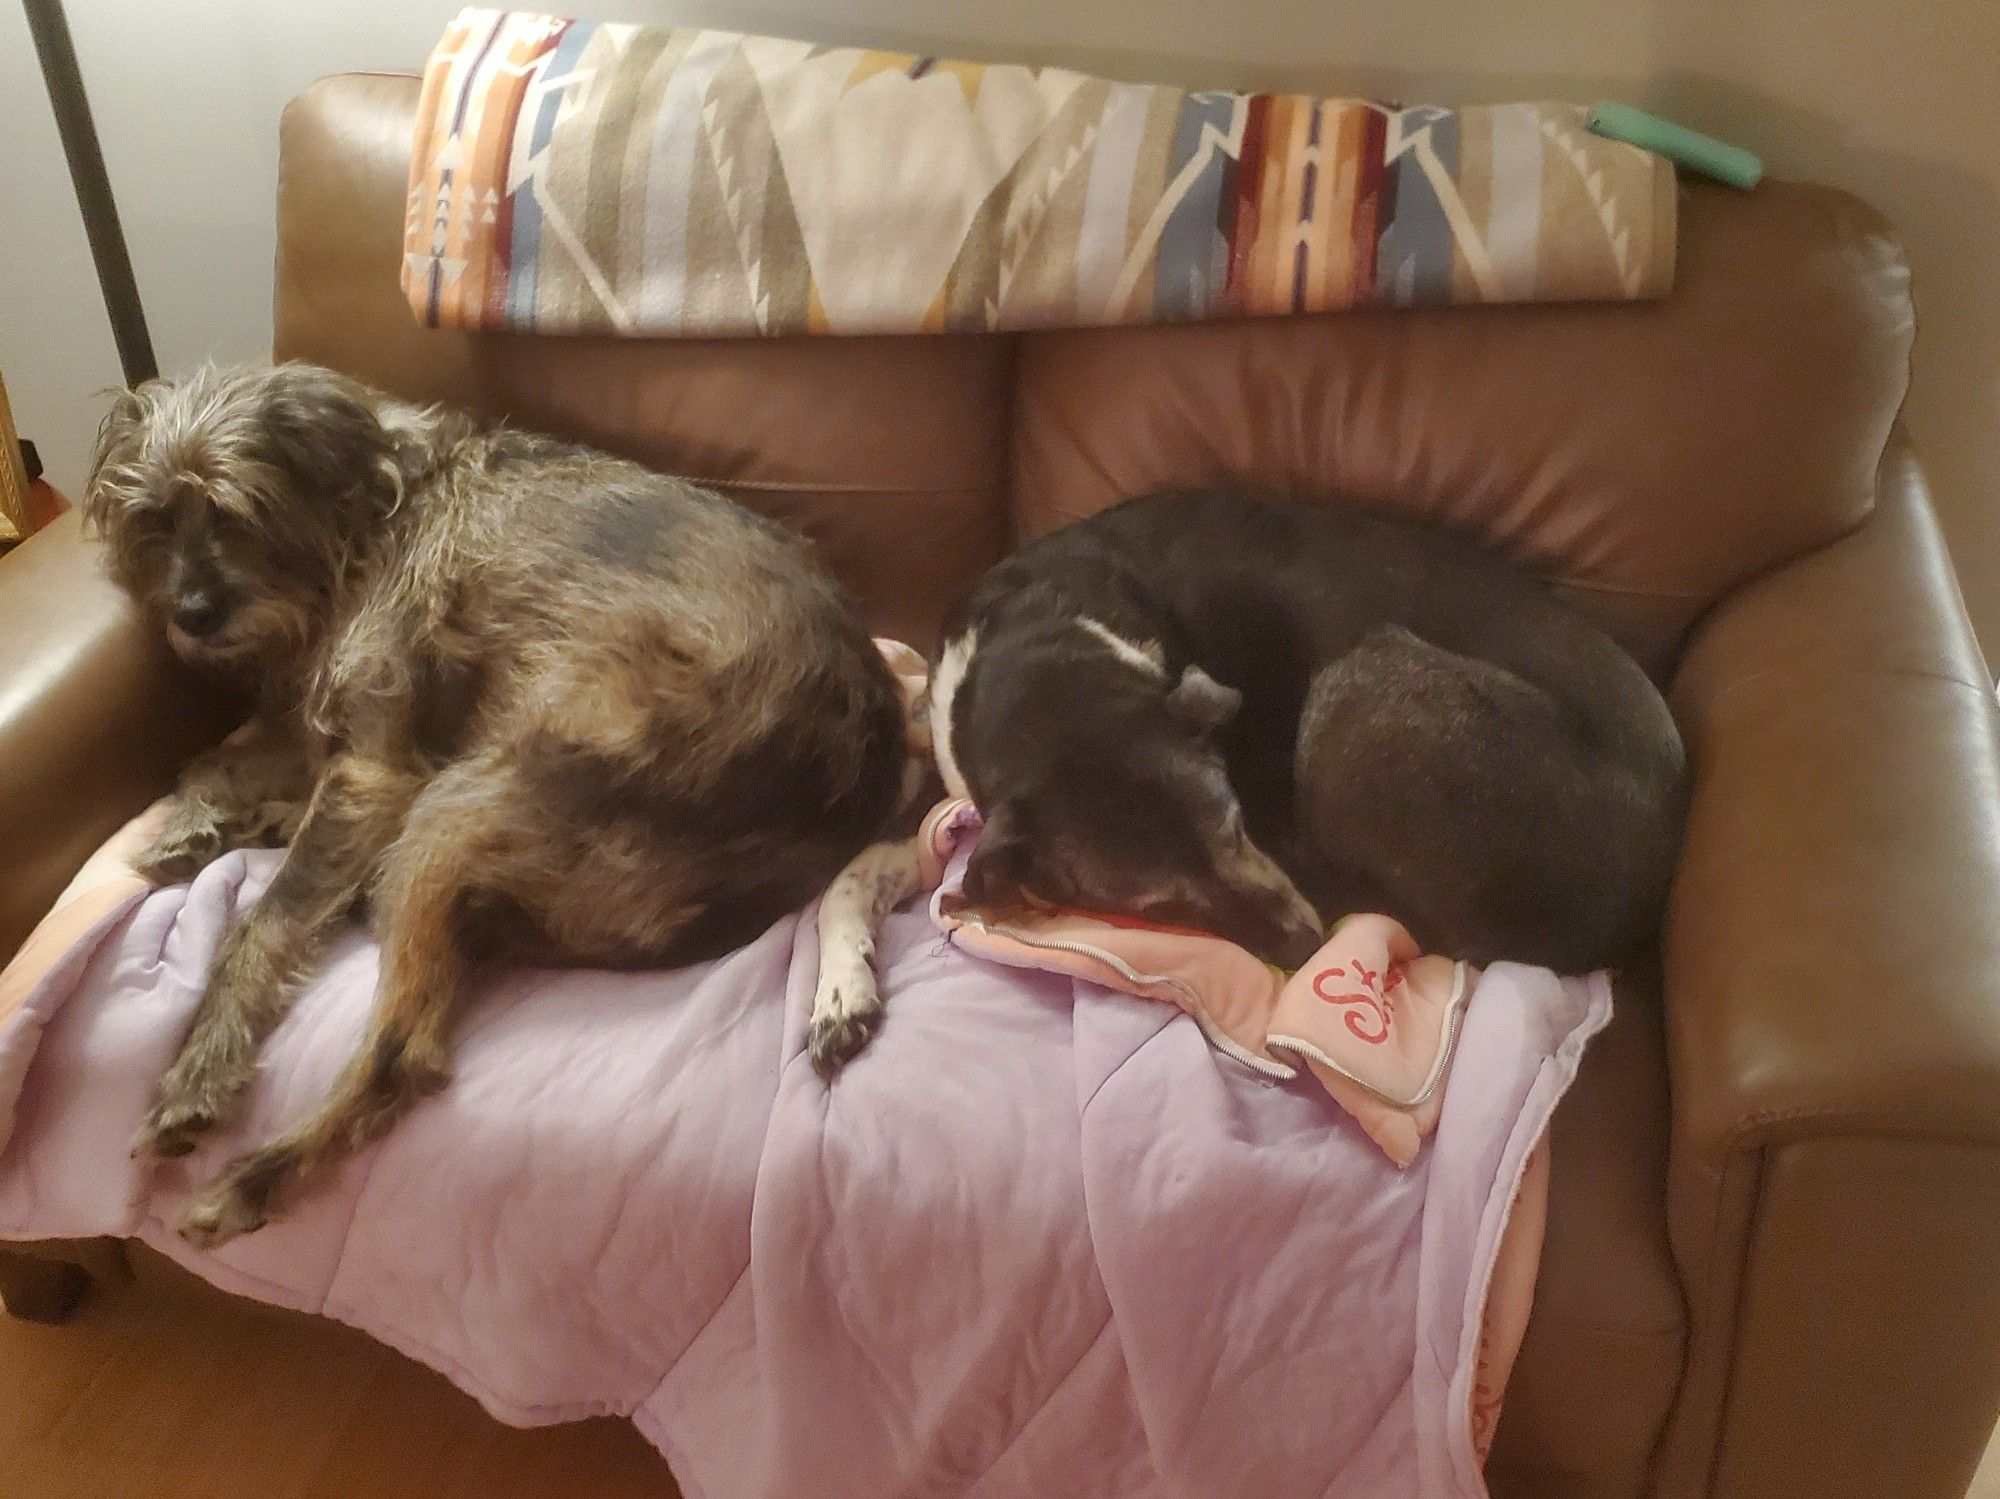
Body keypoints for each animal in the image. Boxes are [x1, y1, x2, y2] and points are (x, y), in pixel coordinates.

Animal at [92, 361, 908, 1247]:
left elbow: (261, 924)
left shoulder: (373, 765)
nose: (192, 615)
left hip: (463, 803)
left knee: (403, 1054)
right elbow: (208, 760)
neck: (365, 516)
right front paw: (196, 822)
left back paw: (257, 1179)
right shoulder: (323, 737)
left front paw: (198, 1069)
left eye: (238, 510)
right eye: (153, 519)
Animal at [804, 489, 1680, 1071]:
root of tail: (1630, 906)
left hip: (1361, 675)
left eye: (1235, 825)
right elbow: (844, 879)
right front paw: (840, 992)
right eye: (1163, 907)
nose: (1307, 946)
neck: (1045, 646)